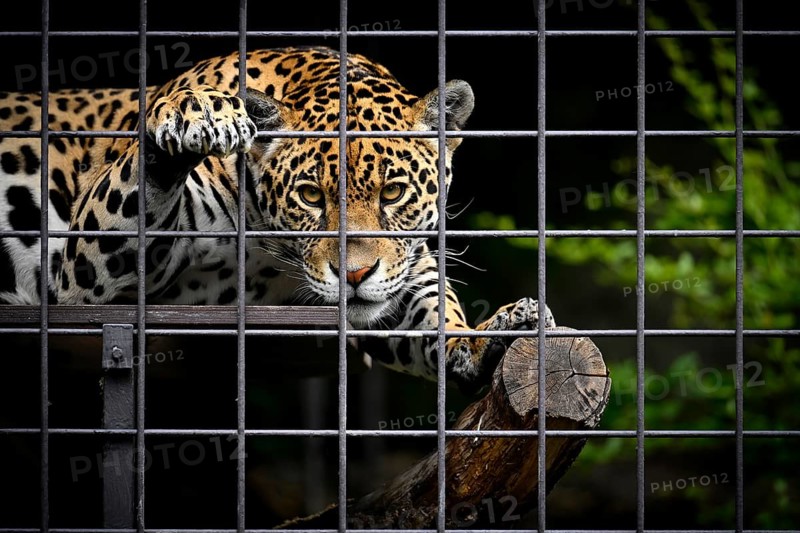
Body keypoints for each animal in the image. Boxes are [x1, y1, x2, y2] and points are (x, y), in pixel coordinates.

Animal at [0, 46, 555, 391]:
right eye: (310, 196)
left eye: (393, 192)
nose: (354, 275)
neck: (268, 253)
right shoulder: (80, 279)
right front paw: (191, 114)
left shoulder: (400, 275)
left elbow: (432, 309)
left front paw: (488, 337)